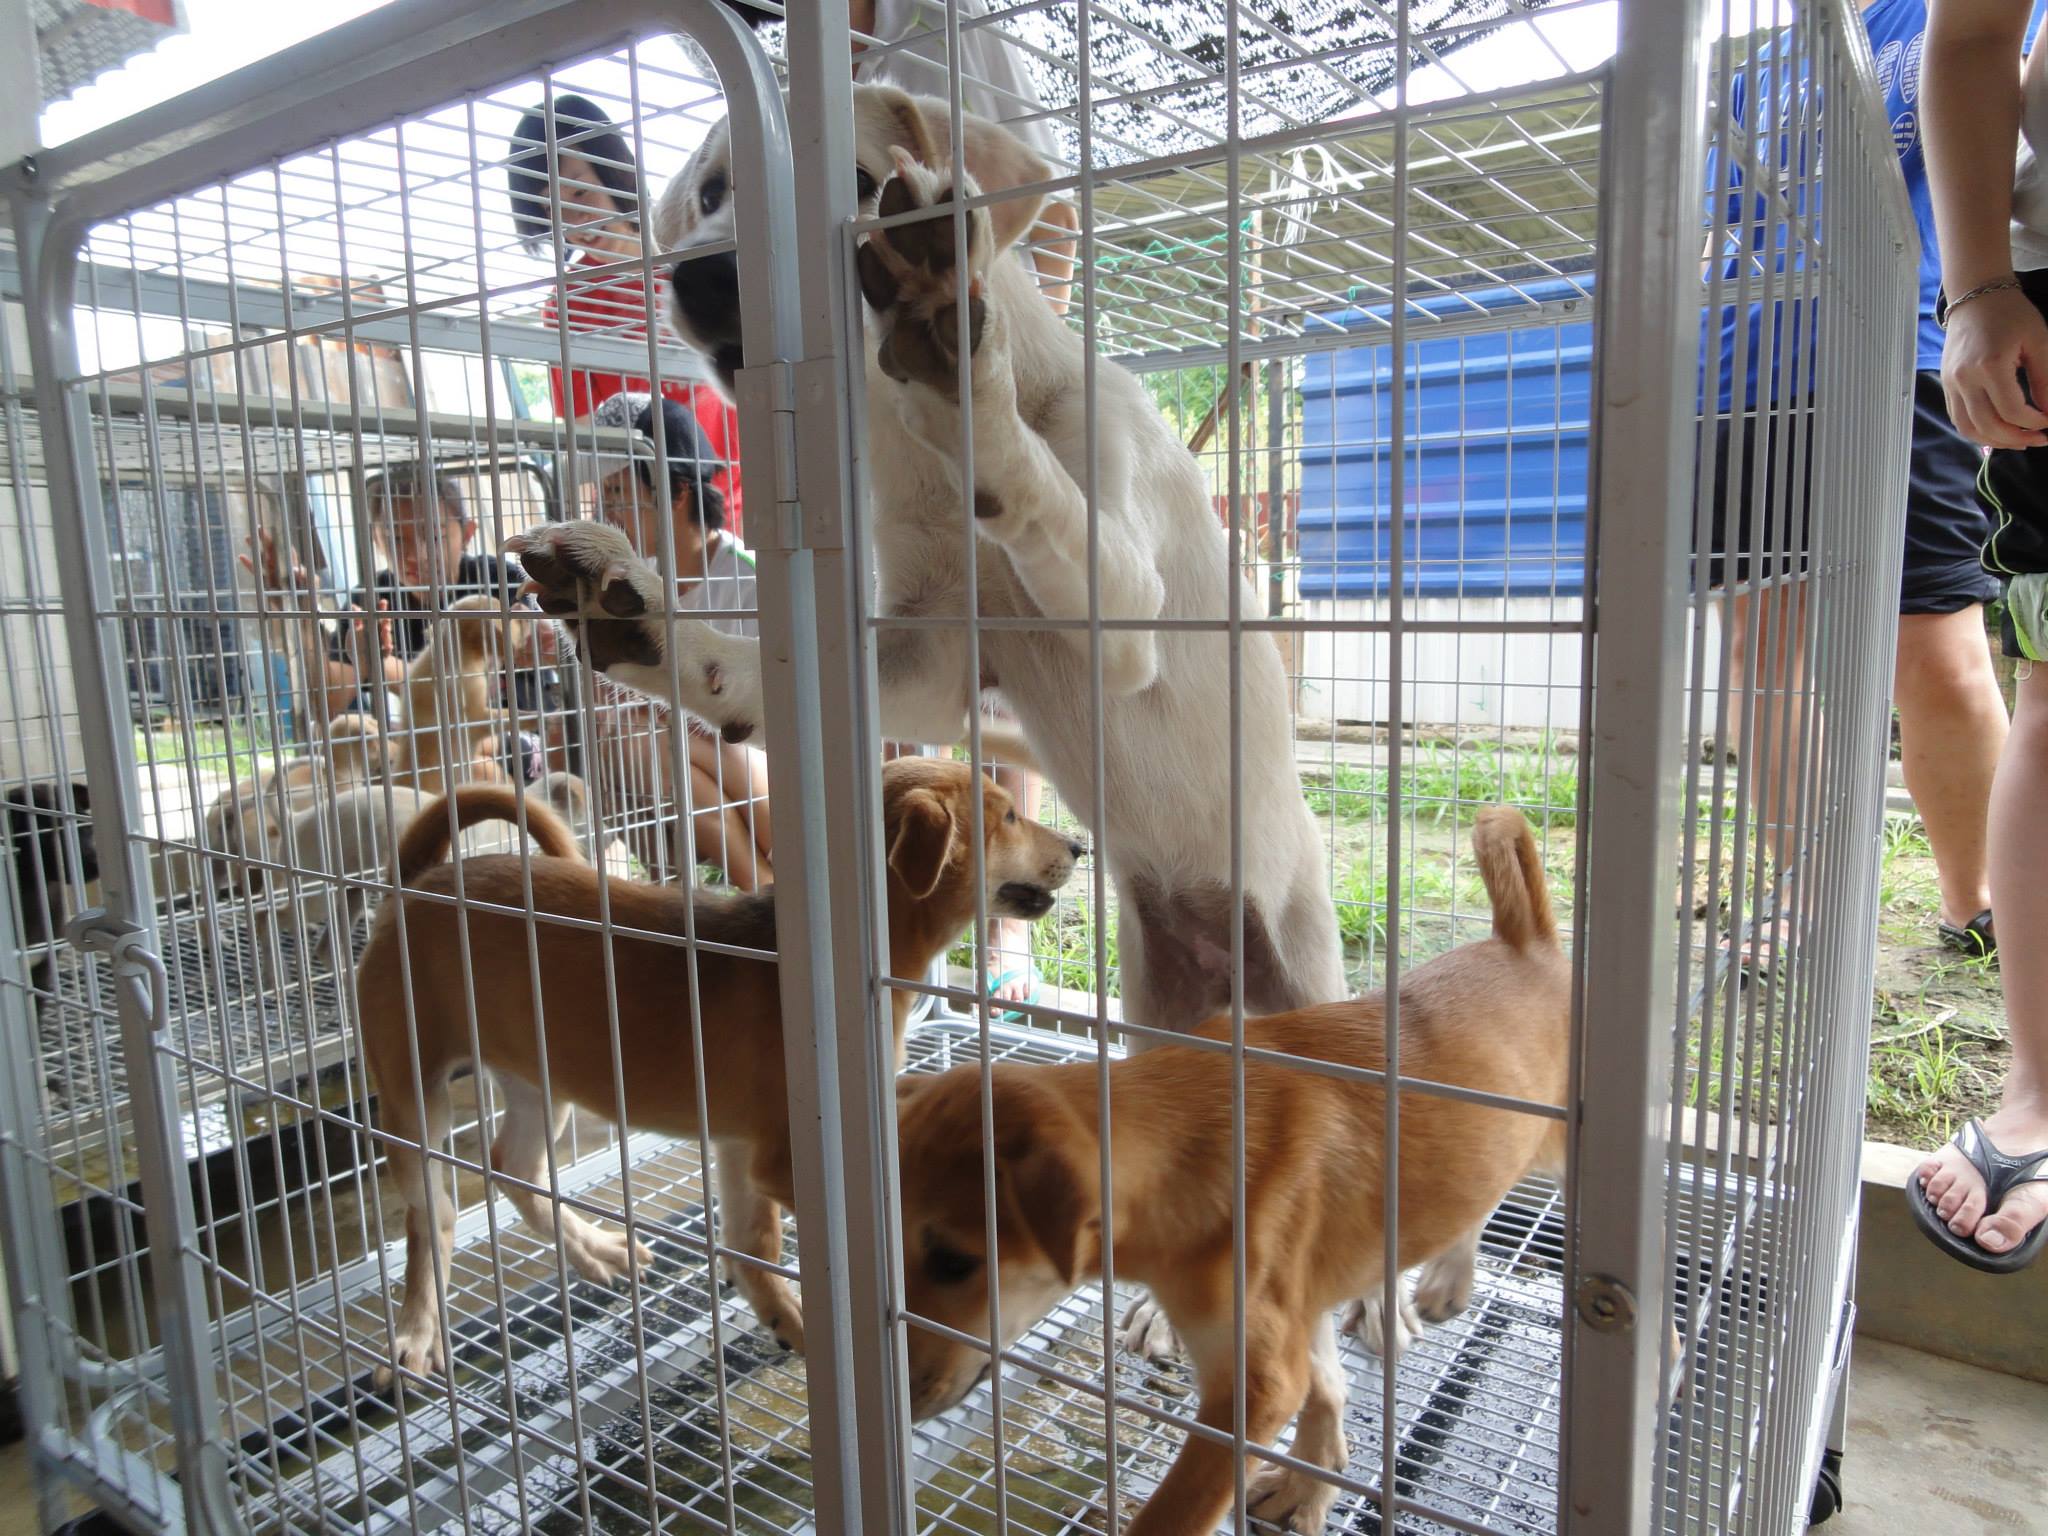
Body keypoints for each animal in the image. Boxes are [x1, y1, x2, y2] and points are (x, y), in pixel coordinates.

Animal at [357, 756, 1080, 1385]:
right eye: (1008, 815)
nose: (1079, 846)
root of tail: (414, 884)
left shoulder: (742, 1148)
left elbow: (749, 1245)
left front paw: (787, 1321)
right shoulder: (790, 1156)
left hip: (540, 1081)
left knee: (514, 1166)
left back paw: (594, 1249)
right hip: (410, 1092)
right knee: (431, 1216)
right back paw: (418, 1329)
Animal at [508, 85, 1350, 1352]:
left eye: (855, 180)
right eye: (707, 194)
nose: (702, 281)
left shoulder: (1123, 617)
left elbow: (1038, 493)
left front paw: (954, 352)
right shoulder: (917, 659)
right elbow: (731, 664)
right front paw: (639, 619)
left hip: (1309, 977)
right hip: (1158, 1020)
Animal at [890, 809, 1567, 1534]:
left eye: (956, 1262)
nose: (902, 1405)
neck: (1184, 1138)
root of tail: (1524, 941)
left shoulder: (1255, 1384)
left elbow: (1176, 1509)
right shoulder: (1292, 1318)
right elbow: (1326, 1391)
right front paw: (1309, 1485)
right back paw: (1449, 1279)